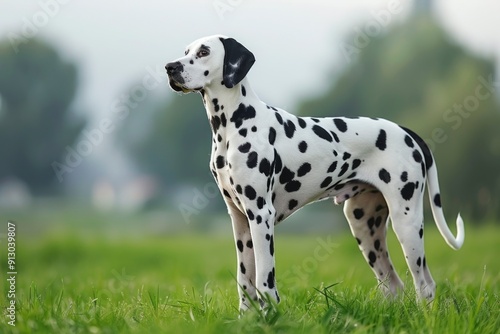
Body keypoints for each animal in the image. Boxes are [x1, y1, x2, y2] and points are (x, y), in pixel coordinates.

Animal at [166, 35, 466, 312]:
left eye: (204, 52)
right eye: (185, 51)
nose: (170, 67)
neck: (233, 125)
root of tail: (406, 131)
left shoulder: (261, 215)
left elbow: (264, 280)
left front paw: (270, 315)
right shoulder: (240, 221)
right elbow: (244, 282)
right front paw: (246, 318)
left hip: (407, 223)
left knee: (425, 284)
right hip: (363, 224)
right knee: (393, 284)